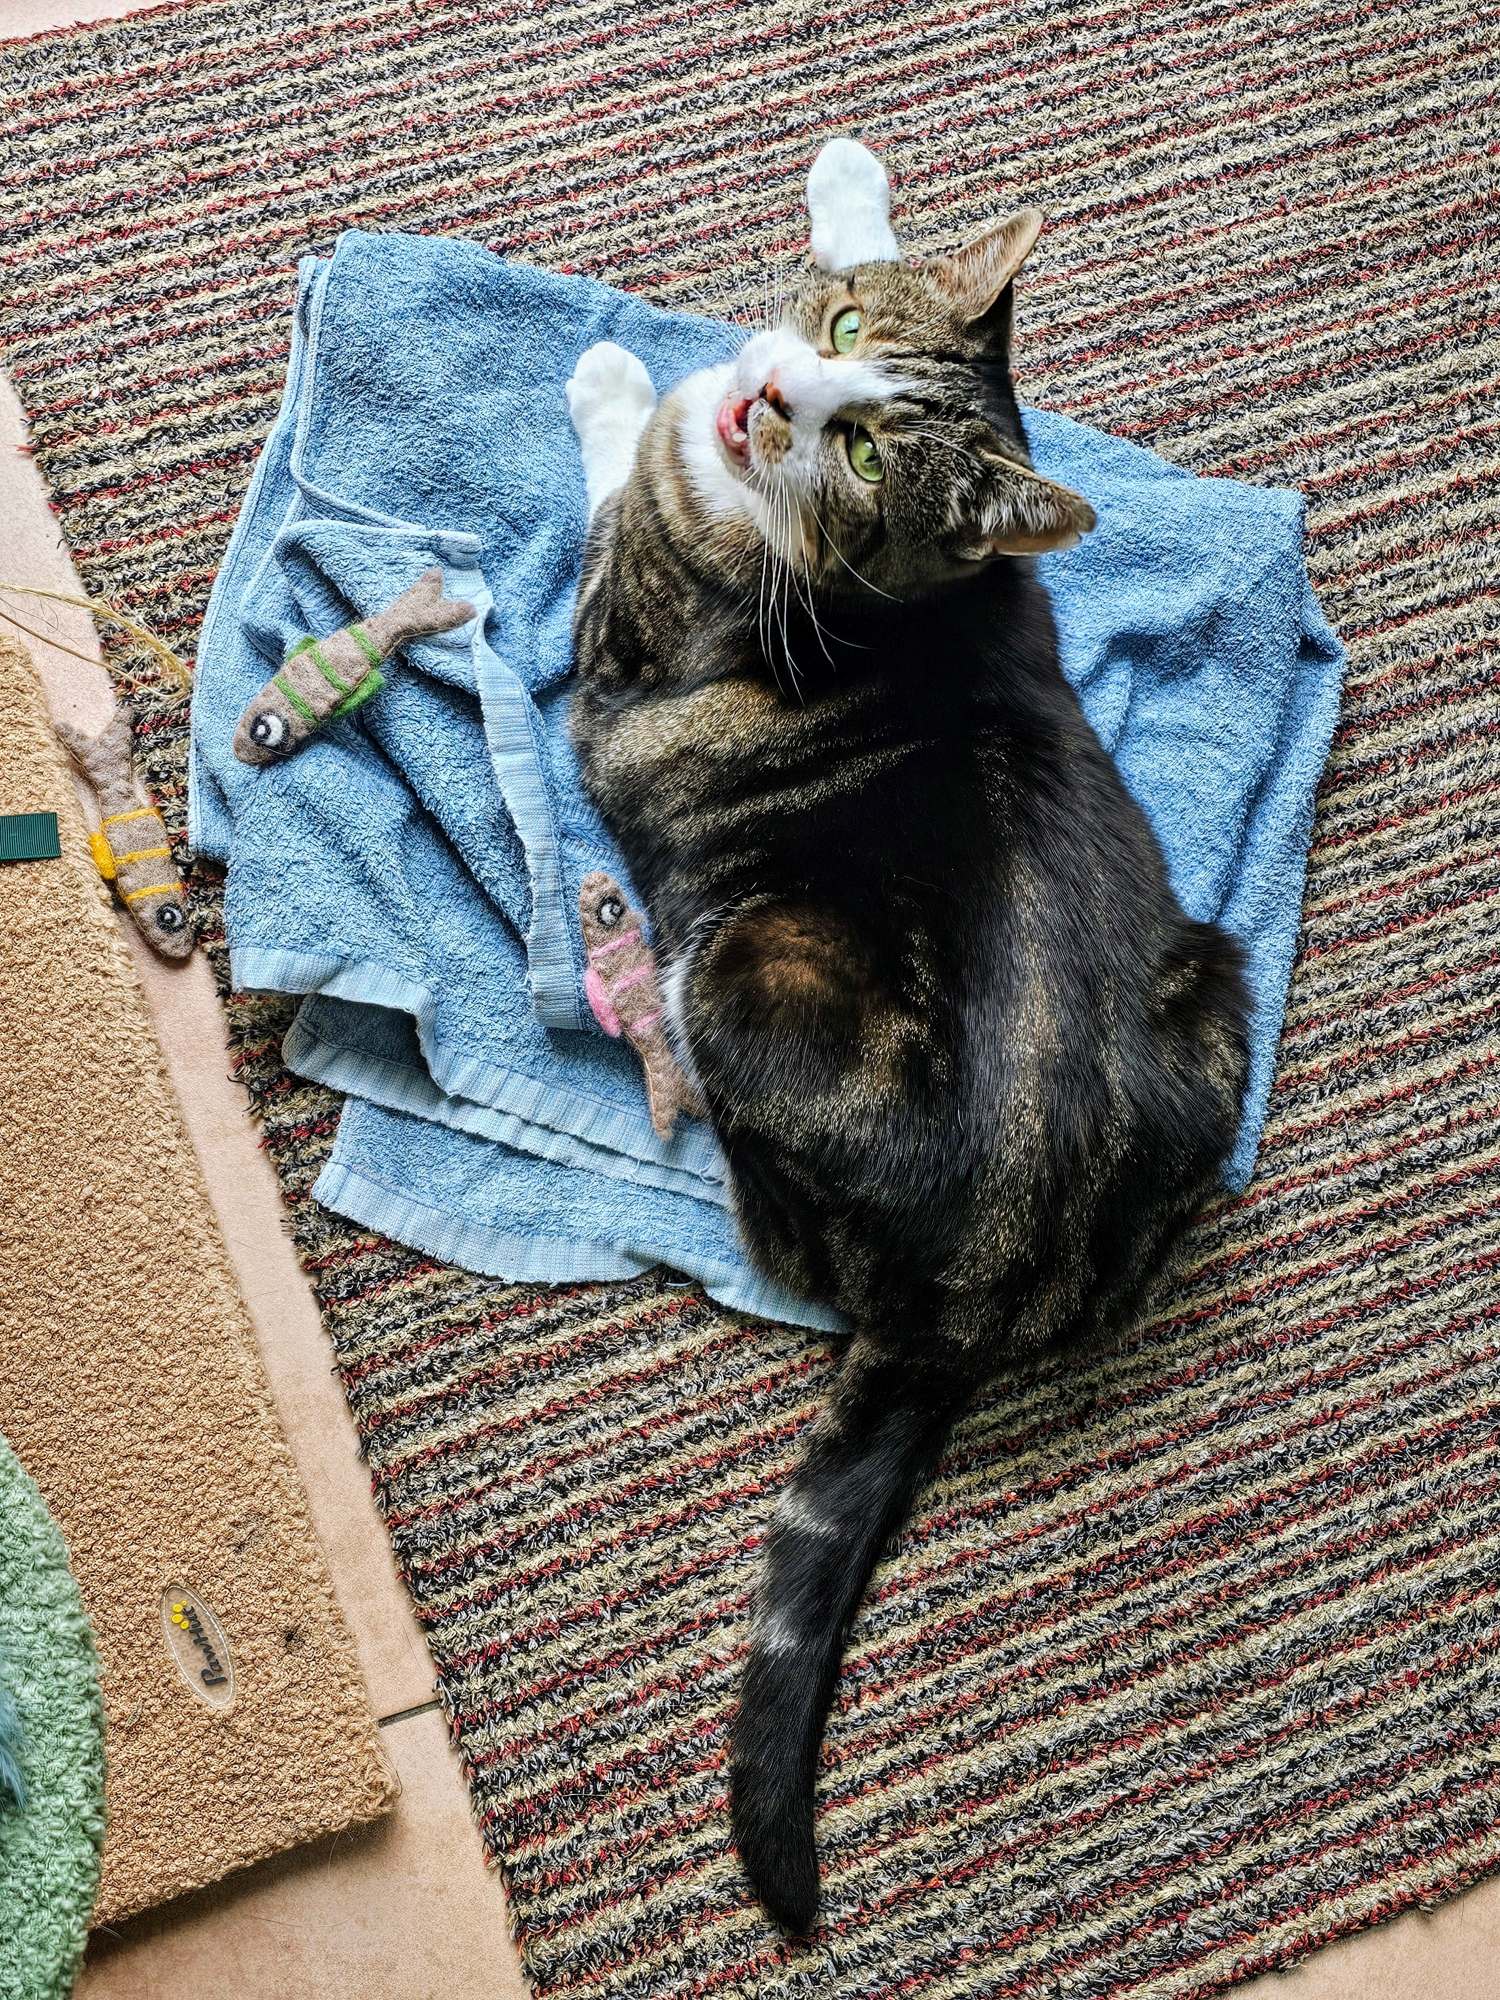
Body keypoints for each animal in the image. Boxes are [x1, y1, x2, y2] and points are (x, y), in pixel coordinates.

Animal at [565, 189, 1250, 1935]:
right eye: (852, 329)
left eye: (867, 453)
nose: (774, 392)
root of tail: (977, 1293)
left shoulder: (614, 612)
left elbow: (607, 473)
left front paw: (612, 373)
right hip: (1219, 982)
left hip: (755, 961)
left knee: (758, 1194)